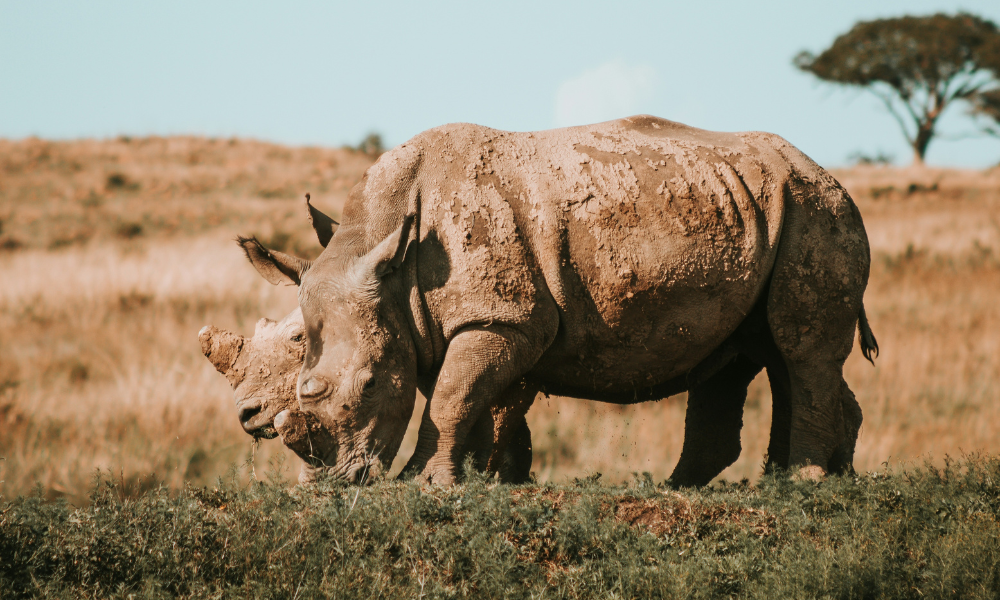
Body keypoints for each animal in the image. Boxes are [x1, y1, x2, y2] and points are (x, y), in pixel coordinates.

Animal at [240, 116, 876, 488]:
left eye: (370, 384)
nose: (333, 481)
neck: (386, 249)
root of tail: (825, 172)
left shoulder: (501, 319)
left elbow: (451, 397)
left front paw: (422, 484)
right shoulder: (439, 323)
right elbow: (467, 398)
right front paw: (481, 482)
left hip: (815, 211)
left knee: (799, 347)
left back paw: (804, 482)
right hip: (759, 208)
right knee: (754, 351)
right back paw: (768, 483)